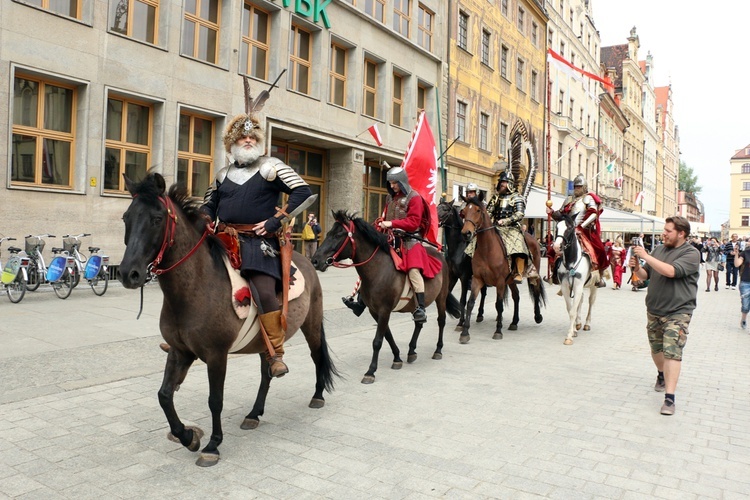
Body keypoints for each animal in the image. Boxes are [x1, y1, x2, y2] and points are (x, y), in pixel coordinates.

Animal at [310, 209, 462, 384]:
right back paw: (411, 350)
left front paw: (370, 371)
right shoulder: (375, 311)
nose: (315, 260)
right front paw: (397, 358)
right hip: (416, 304)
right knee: (419, 322)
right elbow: (387, 335)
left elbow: (377, 341)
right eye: (328, 233)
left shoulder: (384, 310)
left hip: (441, 297)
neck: (378, 269)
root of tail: (440, 256)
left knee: (441, 321)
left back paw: (438, 350)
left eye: (338, 235)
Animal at [556, 215, 604, 344]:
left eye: (569, 228)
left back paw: (587, 324)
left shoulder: (578, 286)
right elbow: (570, 309)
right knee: (580, 301)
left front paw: (569, 336)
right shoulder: (566, 287)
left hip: (594, 286)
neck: (571, 262)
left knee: (591, 302)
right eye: (556, 227)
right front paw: (573, 330)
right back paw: (577, 324)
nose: (556, 246)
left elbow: (573, 310)